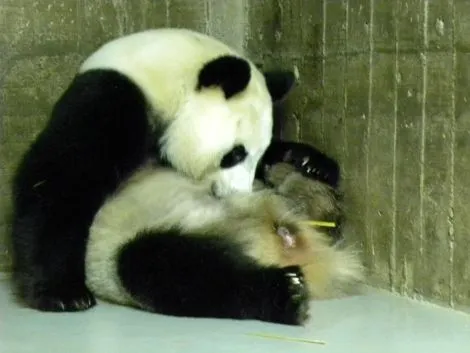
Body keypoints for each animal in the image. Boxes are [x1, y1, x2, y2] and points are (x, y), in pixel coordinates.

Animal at [10, 28, 338, 312]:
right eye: (234, 154)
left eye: (256, 156)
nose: (238, 193)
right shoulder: (113, 99)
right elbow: (60, 179)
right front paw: (63, 293)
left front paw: (311, 162)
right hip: (119, 249)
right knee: (174, 269)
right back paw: (284, 289)